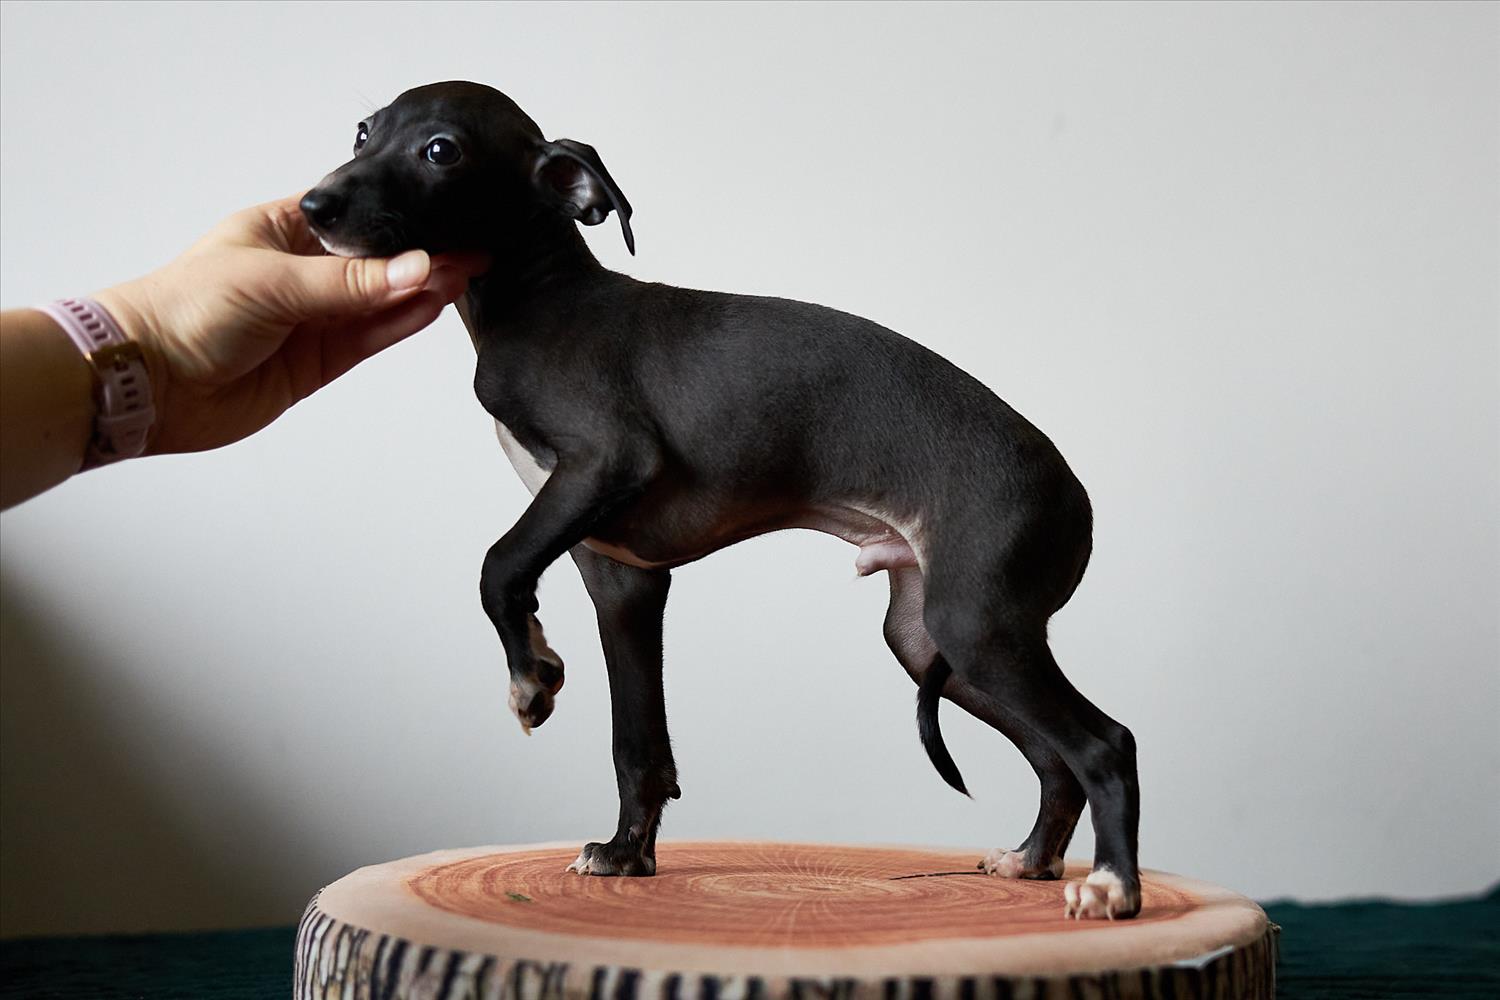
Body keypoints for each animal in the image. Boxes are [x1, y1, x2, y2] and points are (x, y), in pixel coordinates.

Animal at [301, 81, 1141, 920]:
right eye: (363, 131)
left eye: (441, 150)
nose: (312, 207)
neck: (539, 297)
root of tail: (1078, 498)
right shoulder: (623, 580)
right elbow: (637, 744)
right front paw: (626, 853)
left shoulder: (608, 461)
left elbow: (497, 566)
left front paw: (531, 677)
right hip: (930, 636)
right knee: (1054, 756)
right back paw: (1033, 858)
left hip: (975, 624)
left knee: (1104, 743)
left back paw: (1112, 885)